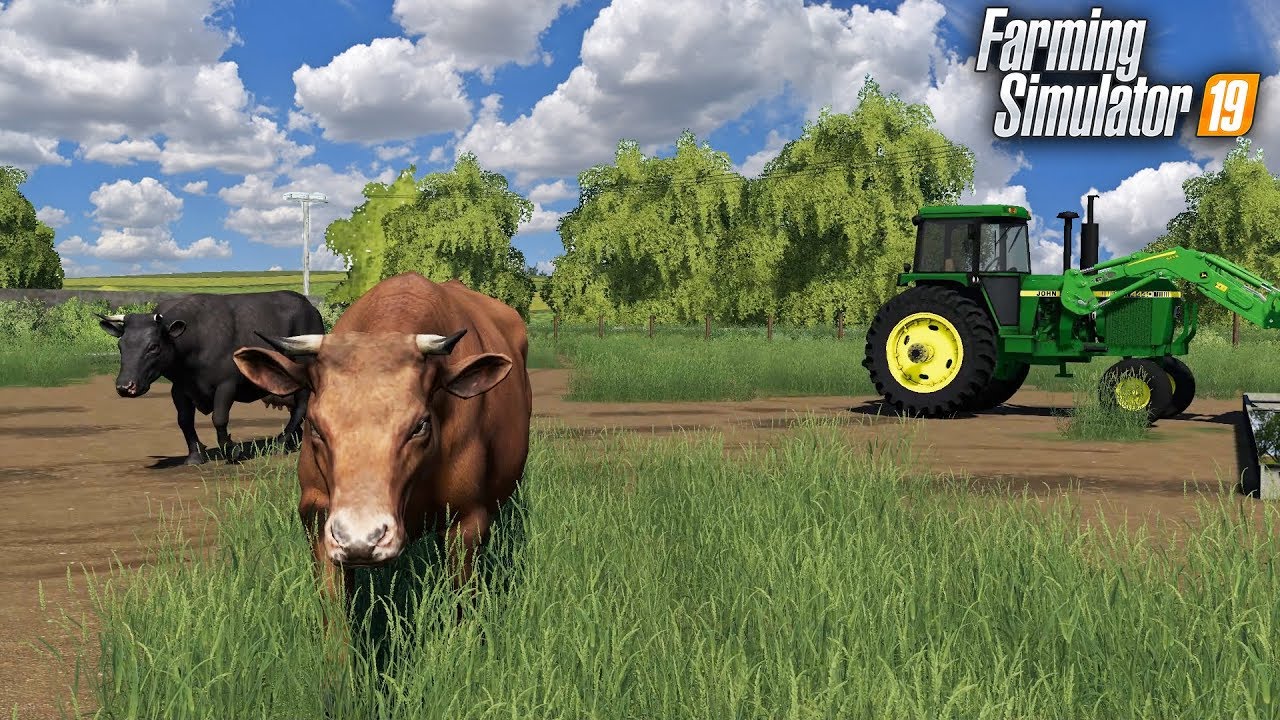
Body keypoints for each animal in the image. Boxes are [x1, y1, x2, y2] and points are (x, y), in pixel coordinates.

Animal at [97, 291, 325, 465]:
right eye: (121, 345)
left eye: (153, 346)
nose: (125, 387)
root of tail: (309, 307)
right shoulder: (179, 389)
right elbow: (184, 420)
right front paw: (195, 455)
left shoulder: (227, 384)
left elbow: (219, 418)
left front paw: (232, 452)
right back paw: (293, 440)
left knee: (301, 406)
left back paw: (281, 442)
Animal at [229, 273, 532, 616]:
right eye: (315, 427)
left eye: (420, 425)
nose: (361, 539)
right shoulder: (316, 514)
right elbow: (335, 613)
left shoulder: (467, 520)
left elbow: (462, 604)